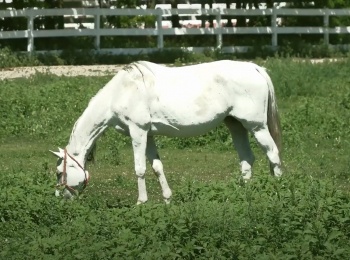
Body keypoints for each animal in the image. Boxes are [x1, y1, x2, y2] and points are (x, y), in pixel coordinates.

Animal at [51, 60, 282, 203]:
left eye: (59, 172)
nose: (60, 197)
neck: (121, 91)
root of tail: (256, 68)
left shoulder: (138, 132)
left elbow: (140, 168)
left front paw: (141, 202)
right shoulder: (149, 135)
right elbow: (157, 167)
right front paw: (167, 199)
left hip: (256, 126)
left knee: (273, 154)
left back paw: (278, 189)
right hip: (236, 125)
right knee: (247, 159)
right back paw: (243, 193)